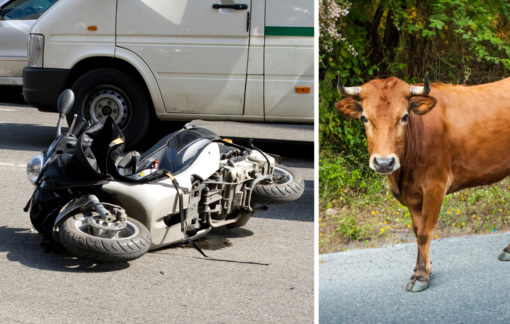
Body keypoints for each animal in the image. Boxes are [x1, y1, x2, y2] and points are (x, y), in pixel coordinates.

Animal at [334, 72, 510, 292]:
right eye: (364, 118)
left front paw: (421, 276)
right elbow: (417, 232)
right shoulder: (412, 195)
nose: (383, 162)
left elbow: (425, 232)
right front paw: (422, 268)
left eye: (405, 116)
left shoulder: (435, 186)